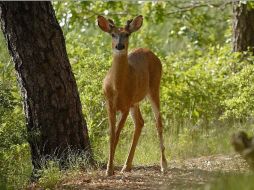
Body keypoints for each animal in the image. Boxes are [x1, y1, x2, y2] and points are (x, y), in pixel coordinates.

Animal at [96, 15, 167, 177]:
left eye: (127, 34)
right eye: (113, 34)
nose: (119, 46)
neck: (117, 87)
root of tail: (150, 51)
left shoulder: (126, 105)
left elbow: (117, 135)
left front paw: (110, 169)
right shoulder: (109, 103)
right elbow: (111, 135)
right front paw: (109, 169)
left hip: (154, 88)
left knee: (158, 122)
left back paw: (164, 165)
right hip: (135, 101)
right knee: (140, 122)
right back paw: (126, 166)